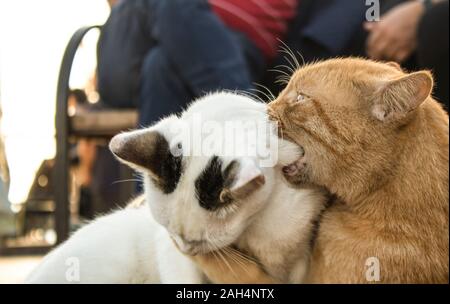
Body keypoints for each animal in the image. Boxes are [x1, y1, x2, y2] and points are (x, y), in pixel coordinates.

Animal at [25, 92, 326, 282]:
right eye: (172, 235)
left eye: (198, 242)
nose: (186, 250)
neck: (261, 224)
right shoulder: (173, 256)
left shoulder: (300, 259)